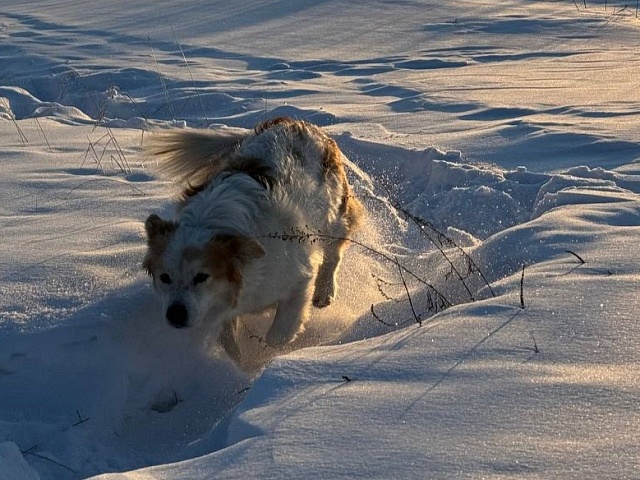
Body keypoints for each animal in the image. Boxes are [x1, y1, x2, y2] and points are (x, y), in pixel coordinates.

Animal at [143, 117, 362, 360]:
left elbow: (277, 336)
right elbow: (229, 343)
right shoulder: (227, 304)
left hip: (333, 215)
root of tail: (291, 120)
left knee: (333, 252)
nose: (175, 315)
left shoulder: (297, 280)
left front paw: (265, 361)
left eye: (201, 277)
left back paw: (324, 291)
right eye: (164, 277)